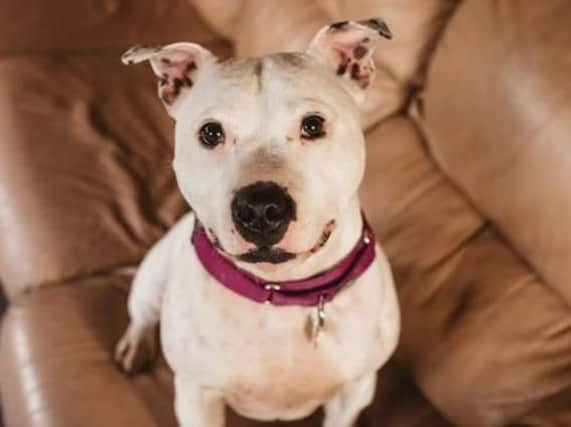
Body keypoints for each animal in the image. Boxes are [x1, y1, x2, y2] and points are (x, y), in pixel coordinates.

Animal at [115, 18, 402, 427]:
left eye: (313, 125)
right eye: (210, 133)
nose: (261, 208)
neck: (281, 294)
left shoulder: (354, 393)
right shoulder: (196, 396)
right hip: (152, 275)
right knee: (142, 314)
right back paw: (135, 345)